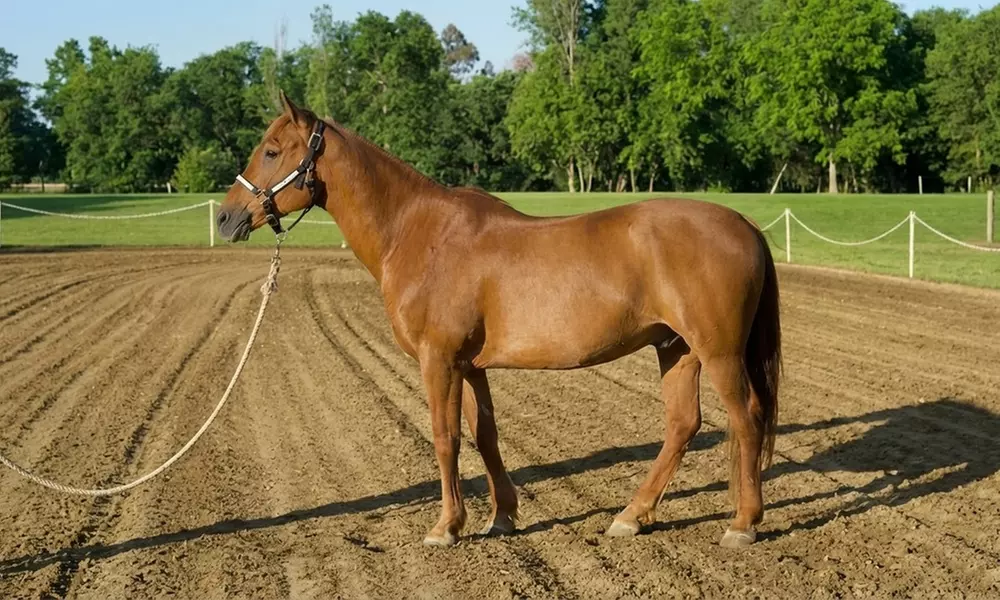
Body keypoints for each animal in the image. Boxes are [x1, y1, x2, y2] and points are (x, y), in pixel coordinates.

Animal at [216, 91, 782, 549]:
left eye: (271, 150)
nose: (225, 217)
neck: (420, 233)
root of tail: (745, 224)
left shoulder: (439, 361)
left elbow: (445, 436)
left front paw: (446, 526)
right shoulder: (471, 366)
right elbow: (484, 434)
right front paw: (502, 516)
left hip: (719, 353)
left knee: (747, 418)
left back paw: (743, 523)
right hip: (677, 349)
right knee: (683, 424)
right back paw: (631, 516)